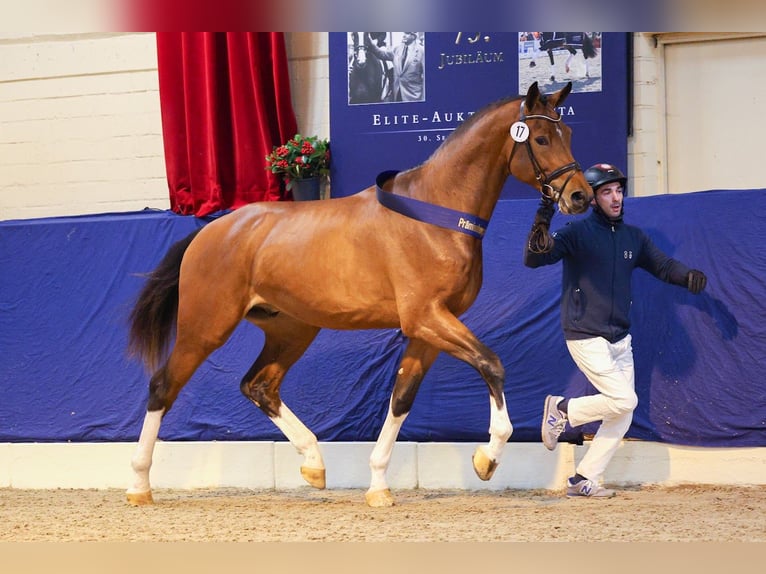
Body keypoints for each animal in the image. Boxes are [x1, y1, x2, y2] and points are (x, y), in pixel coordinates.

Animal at [127, 80, 592, 508]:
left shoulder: (429, 330)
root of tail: (211, 230)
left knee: (259, 385)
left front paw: (379, 485)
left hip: (292, 329)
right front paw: (487, 457)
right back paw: (139, 485)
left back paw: (314, 463)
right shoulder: (426, 317)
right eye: (541, 138)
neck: (436, 215)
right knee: (163, 387)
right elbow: (491, 365)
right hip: (205, 327)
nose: (580, 195)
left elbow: (402, 397)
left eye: (569, 132)